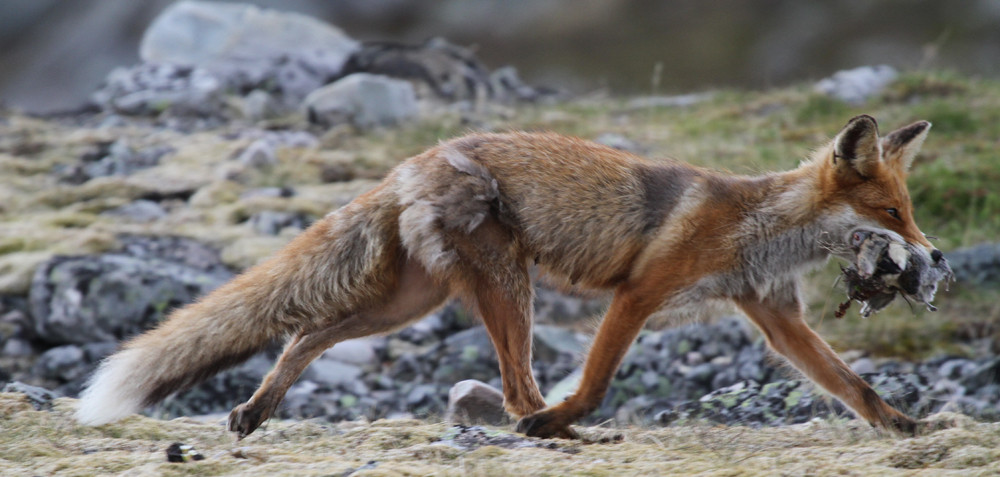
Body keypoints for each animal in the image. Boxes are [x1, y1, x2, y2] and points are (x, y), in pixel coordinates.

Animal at [76, 115, 944, 438]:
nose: (934, 257)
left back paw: (256, 410)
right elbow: (593, 382)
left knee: (304, 334)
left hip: (410, 300)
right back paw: (548, 429)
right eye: (892, 214)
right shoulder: (638, 294)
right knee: (518, 384)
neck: (759, 231)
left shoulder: (776, 316)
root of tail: (412, 160)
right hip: (504, 283)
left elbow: (853, 383)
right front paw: (569, 418)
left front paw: (904, 426)